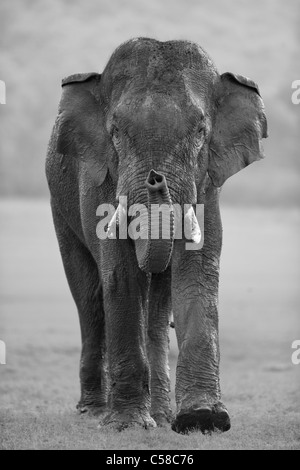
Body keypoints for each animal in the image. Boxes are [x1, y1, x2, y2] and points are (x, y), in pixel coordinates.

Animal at [46, 36, 268, 434]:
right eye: (116, 132)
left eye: (200, 132)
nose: (155, 179)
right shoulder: (100, 180)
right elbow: (120, 276)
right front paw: (128, 426)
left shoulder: (206, 185)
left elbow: (197, 273)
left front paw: (203, 420)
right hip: (60, 203)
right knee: (89, 298)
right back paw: (95, 412)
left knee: (158, 302)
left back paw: (162, 416)